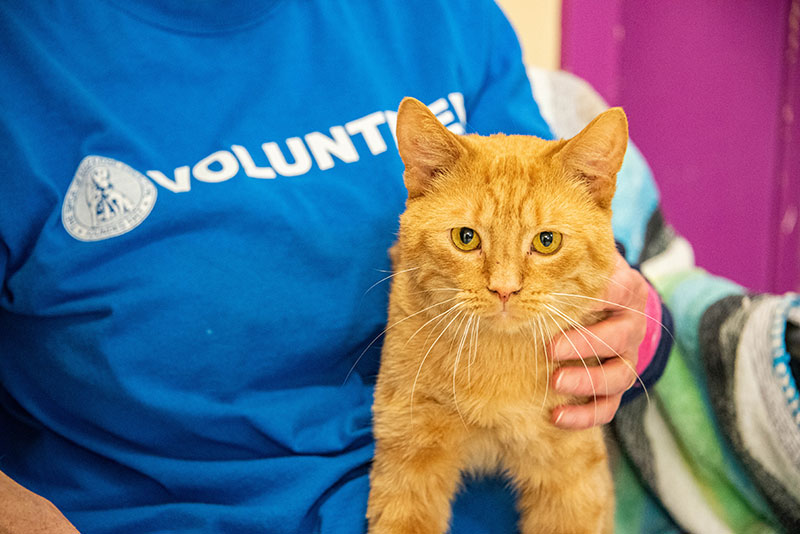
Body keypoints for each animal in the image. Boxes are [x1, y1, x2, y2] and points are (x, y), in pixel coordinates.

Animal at [366, 97, 628, 534]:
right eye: (465, 238)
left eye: (546, 241)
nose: (504, 289)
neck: (500, 362)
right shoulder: (408, 450)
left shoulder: (573, 471)